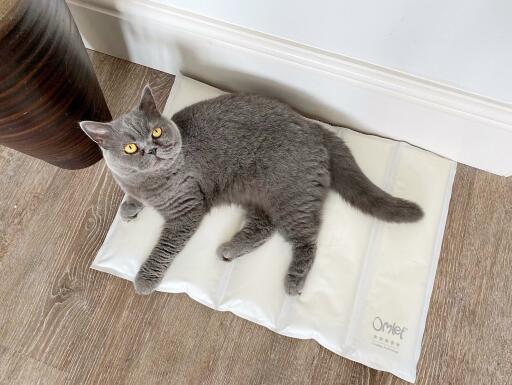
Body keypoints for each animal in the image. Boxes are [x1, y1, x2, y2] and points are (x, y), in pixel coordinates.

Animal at [81, 86, 424, 294]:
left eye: (156, 131)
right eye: (130, 148)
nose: (152, 149)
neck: (151, 182)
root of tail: (315, 127)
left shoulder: (188, 210)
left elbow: (165, 247)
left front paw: (145, 278)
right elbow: (131, 196)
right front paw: (129, 207)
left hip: (289, 197)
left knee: (308, 239)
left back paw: (293, 280)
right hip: (253, 192)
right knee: (266, 227)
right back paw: (231, 249)